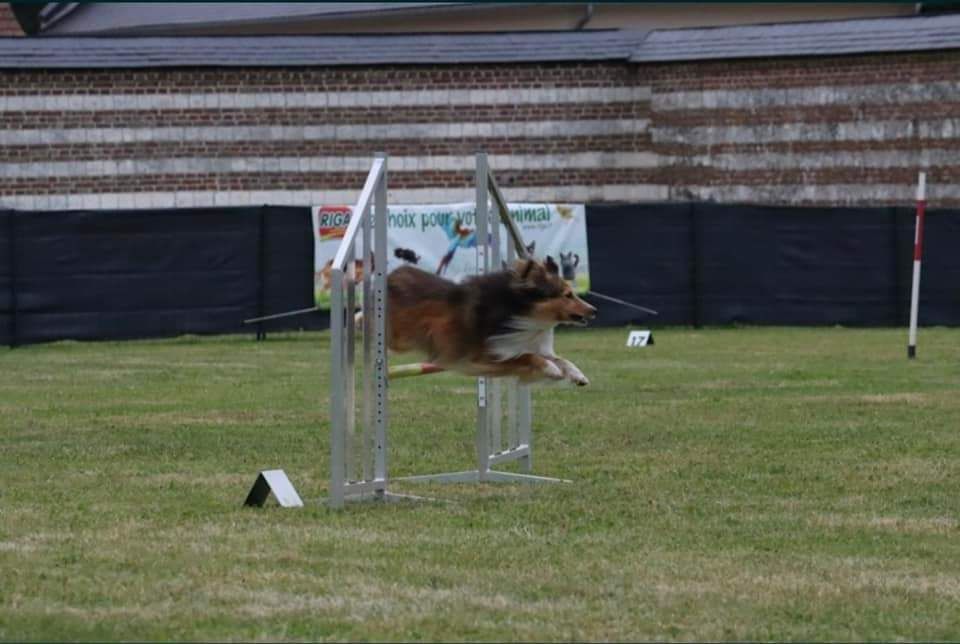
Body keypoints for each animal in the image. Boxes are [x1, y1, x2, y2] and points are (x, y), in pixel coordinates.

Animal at [386, 256, 596, 385]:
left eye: (572, 293)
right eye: (567, 295)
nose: (594, 310)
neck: (518, 311)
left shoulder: (515, 344)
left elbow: (560, 359)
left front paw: (577, 375)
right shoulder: (482, 357)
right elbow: (528, 357)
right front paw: (551, 369)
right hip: (399, 339)